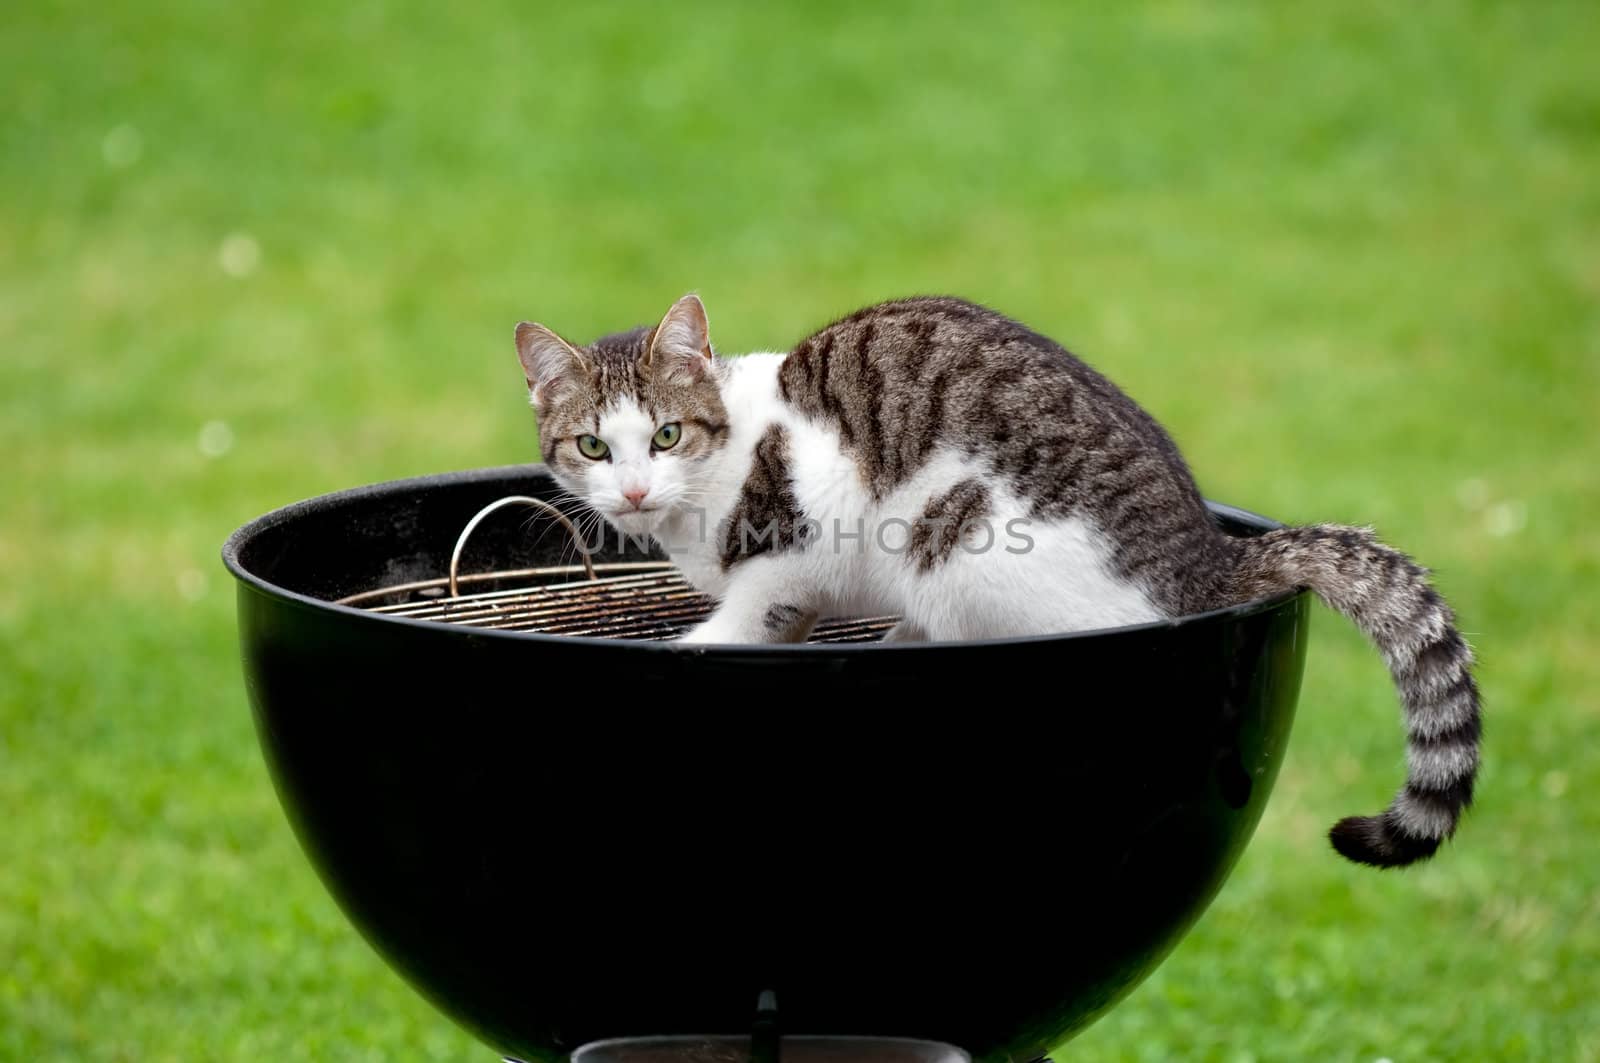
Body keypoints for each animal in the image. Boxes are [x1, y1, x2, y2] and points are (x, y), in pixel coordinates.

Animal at [518, 291, 1478, 864]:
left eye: (667, 435)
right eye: (593, 446)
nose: (633, 490)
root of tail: (1211, 560)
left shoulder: (803, 531)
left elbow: (754, 612)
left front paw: (698, 643)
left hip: (957, 534)